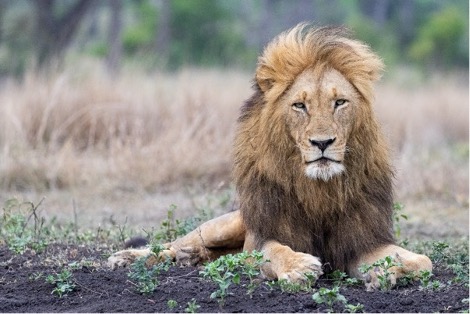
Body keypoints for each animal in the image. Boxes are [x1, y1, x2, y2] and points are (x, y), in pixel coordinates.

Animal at [108, 23, 432, 290]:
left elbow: (422, 262)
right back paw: (127, 257)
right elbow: (274, 251)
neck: (319, 190)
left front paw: (386, 271)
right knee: (171, 244)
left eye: (340, 102)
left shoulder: (360, 242)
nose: (322, 142)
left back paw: (191, 257)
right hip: (225, 225)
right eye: (299, 106)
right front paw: (299, 267)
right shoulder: (262, 236)